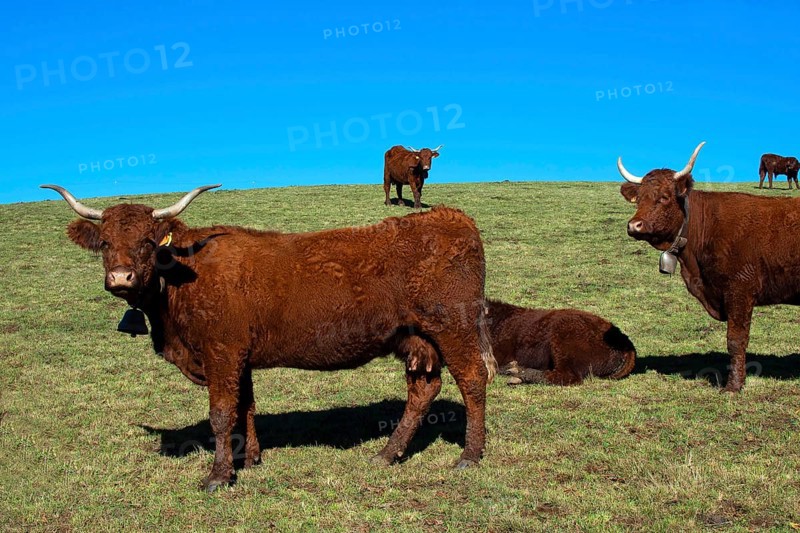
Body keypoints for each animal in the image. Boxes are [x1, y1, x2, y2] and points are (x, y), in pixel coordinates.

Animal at [42, 184, 497, 491]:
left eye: (148, 242)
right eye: (104, 242)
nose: (121, 278)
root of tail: (451, 216)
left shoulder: (222, 352)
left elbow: (221, 413)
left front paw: (218, 475)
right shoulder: (237, 356)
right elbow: (245, 406)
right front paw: (250, 458)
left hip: (453, 329)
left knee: (473, 380)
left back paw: (469, 456)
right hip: (416, 339)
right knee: (423, 389)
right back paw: (387, 454)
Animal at [618, 141, 800, 392]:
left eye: (665, 197)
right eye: (639, 199)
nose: (634, 225)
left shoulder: (740, 290)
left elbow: (735, 340)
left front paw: (733, 386)